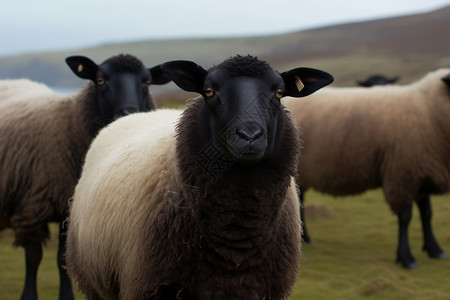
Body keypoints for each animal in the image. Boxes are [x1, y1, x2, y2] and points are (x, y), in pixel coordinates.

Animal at [0, 54, 171, 300]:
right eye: (100, 80)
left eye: (147, 82)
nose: (129, 112)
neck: (68, 128)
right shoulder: (32, 209)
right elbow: (33, 258)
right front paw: (29, 296)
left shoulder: (69, 213)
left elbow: (62, 261)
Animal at [284, 68, 450, 270]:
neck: (427, 108)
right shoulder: (403, 173)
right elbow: (405, 217)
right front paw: (406, 258)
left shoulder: (420, 171)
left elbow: (427, 214)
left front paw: (435, 250)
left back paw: (306, 238)